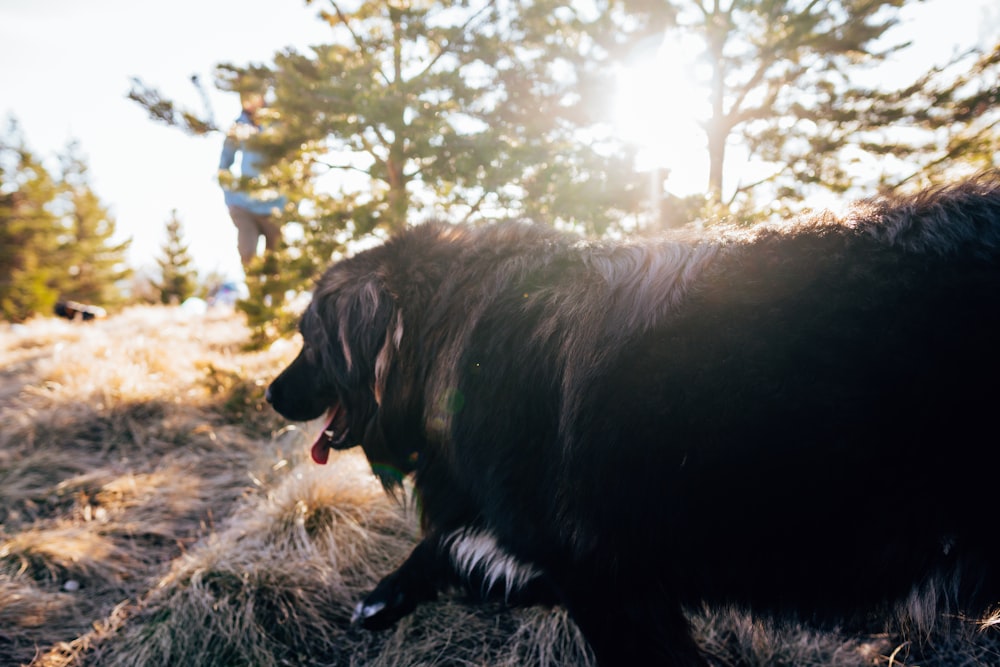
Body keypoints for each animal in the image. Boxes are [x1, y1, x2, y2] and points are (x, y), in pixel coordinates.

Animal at [266, 175, 1000, 664]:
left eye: (308, 339)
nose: (271, 393)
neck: (449, 330)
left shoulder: (599, 579)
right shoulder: (565, 564)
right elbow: (443, 547)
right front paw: (384, 597)